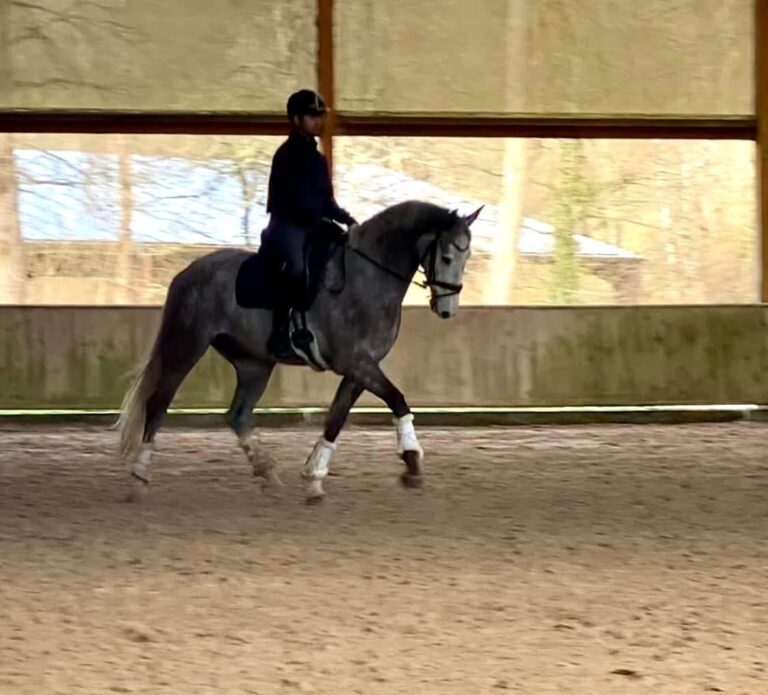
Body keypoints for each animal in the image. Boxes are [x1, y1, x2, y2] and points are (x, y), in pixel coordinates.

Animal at [117, 200, 481, 503]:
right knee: (158, 404)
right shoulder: (357, 363)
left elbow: (336, 418)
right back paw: (139, 478)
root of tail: (187, 273)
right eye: (446, 256)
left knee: (237, 414)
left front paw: (314, 477)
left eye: (466, 257)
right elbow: (398, 400)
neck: (368, 278)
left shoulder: (360, 368)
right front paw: (412, 462)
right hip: (187, 344)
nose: (447, 309)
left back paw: (268, 474)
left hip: (254, 364)